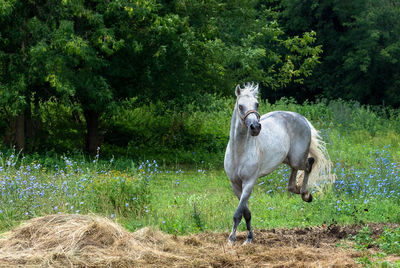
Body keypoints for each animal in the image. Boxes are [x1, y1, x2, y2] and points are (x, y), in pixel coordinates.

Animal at [223, 82, 332, 244]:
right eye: (240, 106)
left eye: (256, 104)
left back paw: (306, 194)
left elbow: (238, 213)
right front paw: (248, 238)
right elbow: (246, 212)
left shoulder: (249, 182)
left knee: (309, 164)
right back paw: (298, 189)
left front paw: (232, 240)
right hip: (288, 158)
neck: (239, 151)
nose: (255, 127)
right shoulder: (235, 184)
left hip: (297, 158)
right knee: (293, 178)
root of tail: (301, 118)